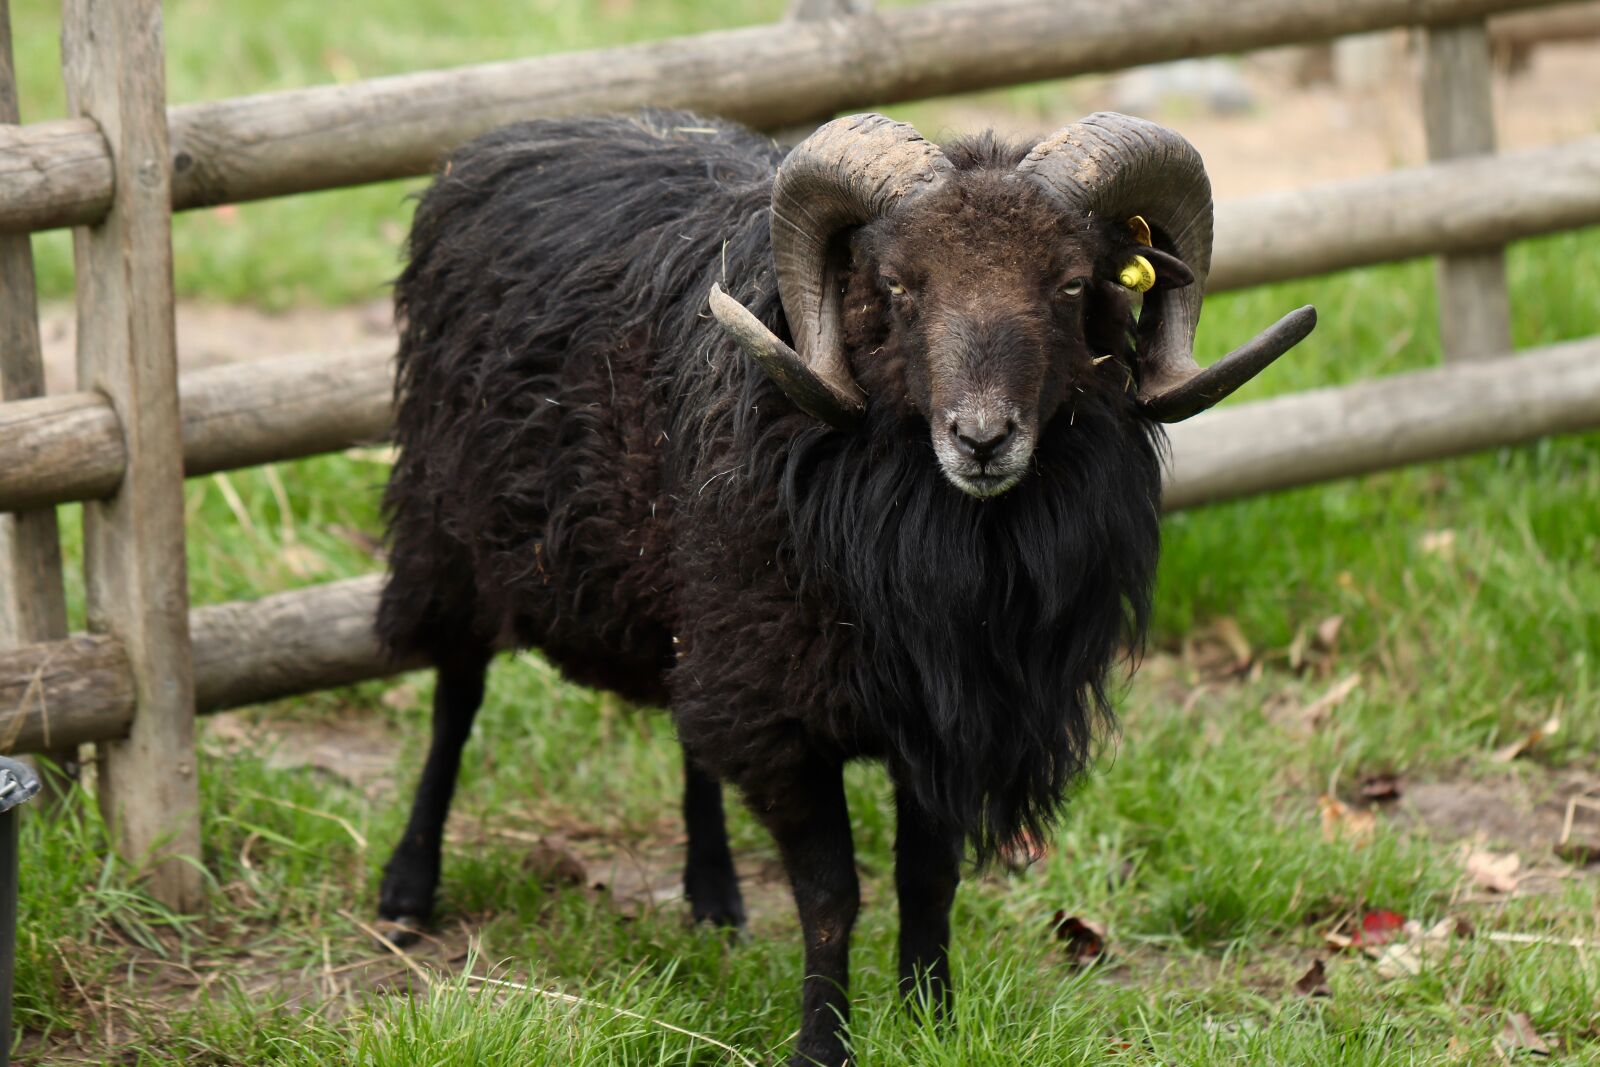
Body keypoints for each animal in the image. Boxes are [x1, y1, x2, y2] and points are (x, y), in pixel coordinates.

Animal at [374, 108, 1315, 1066]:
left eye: (1070, 282)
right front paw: (822, 1044)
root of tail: (518, 134)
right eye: (898, 287)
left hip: (699, 597)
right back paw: (408, 887)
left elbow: (926, 879)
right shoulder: (781, 712)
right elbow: (831, 895)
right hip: (452, 539)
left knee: (688, 727)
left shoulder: (947, 709)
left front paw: (934, 1020)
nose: (982, 438)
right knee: (455, 698)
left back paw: (712, 891)